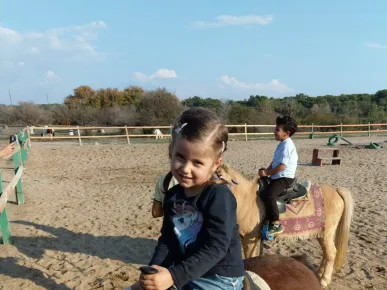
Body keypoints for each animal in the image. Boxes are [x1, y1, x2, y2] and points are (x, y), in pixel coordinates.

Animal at [217, 163, 356, 288]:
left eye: (220, 177)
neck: (248, 200)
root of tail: (336, 190)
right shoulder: (244, 238)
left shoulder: (250, 240)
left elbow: (251, 257)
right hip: (321, 234)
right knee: (327, 253)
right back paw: (319, 273)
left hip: (327, 233)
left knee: (331, 253)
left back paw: (324, 280)